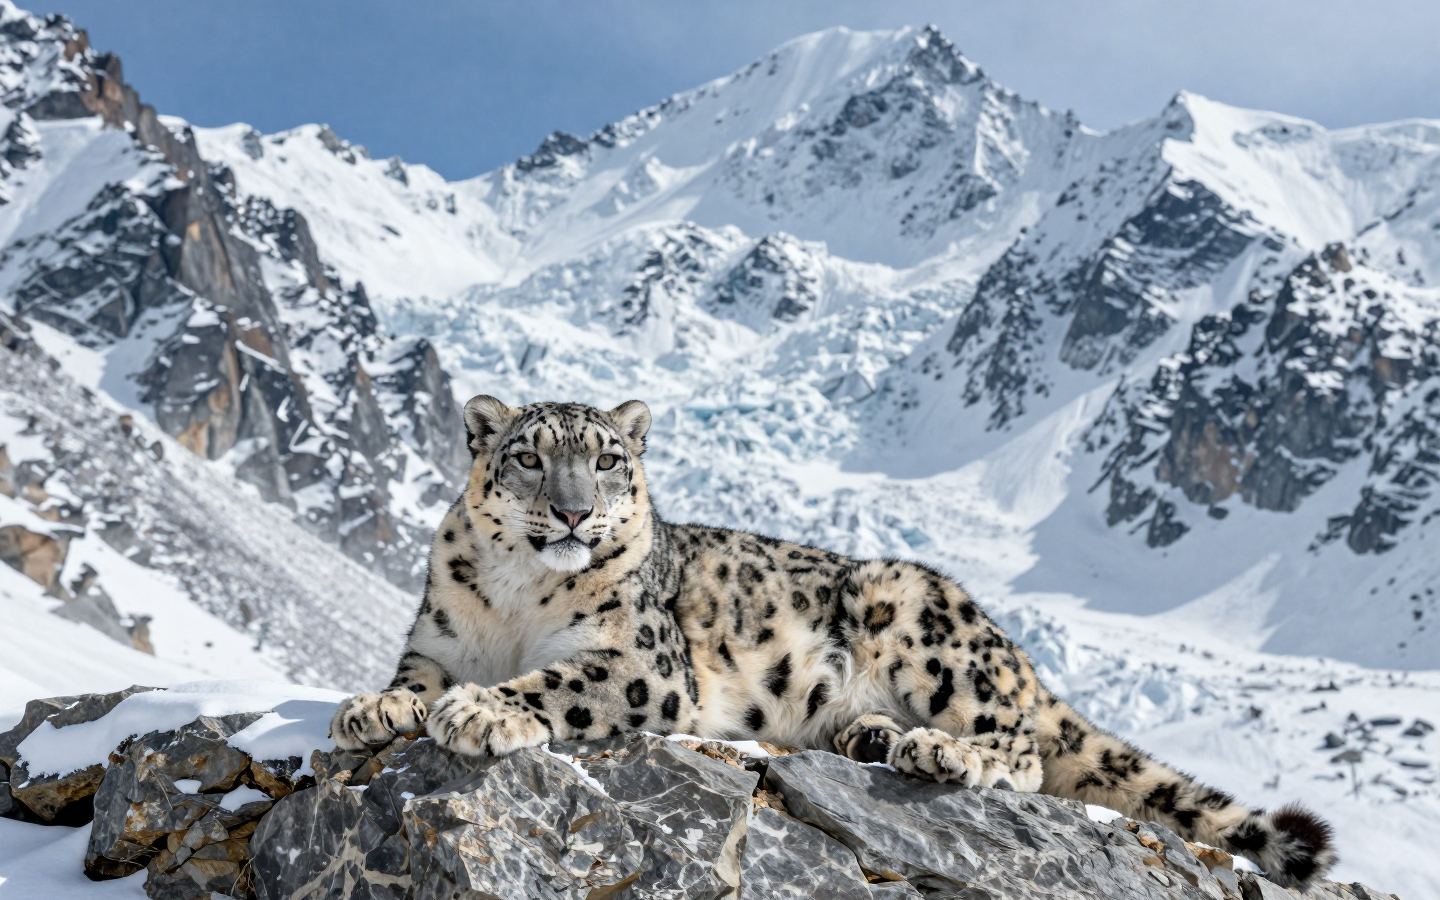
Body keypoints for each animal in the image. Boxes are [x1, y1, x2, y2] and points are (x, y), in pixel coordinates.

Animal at [330, 395, 1336, 889]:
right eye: (531, 457)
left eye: (609, 458)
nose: (576, 512)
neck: (518, 600)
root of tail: (1014, 649)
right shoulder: (440, 636)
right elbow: (414, 675)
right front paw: (373, 706)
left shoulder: (646, 664)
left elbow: (557, 682)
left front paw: (482, 714)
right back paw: (872, 735)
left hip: (921, 622)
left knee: (1023, 750)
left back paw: (935, 749)